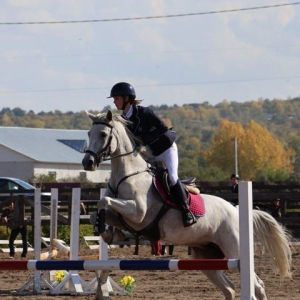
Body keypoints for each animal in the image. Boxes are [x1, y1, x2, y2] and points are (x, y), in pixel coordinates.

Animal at [81, 110, 292, 300]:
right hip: (205, 257)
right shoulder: (126, 215)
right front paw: (108, 233)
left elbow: (104, 201)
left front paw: (108, 231)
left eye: (103, 134)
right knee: (229, 289)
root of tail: (235, 210)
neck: (127, 175)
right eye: (89, 134)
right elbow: (98, 212)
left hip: (235, 251)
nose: (87, 162)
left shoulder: (138, 212)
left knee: (258, 285)